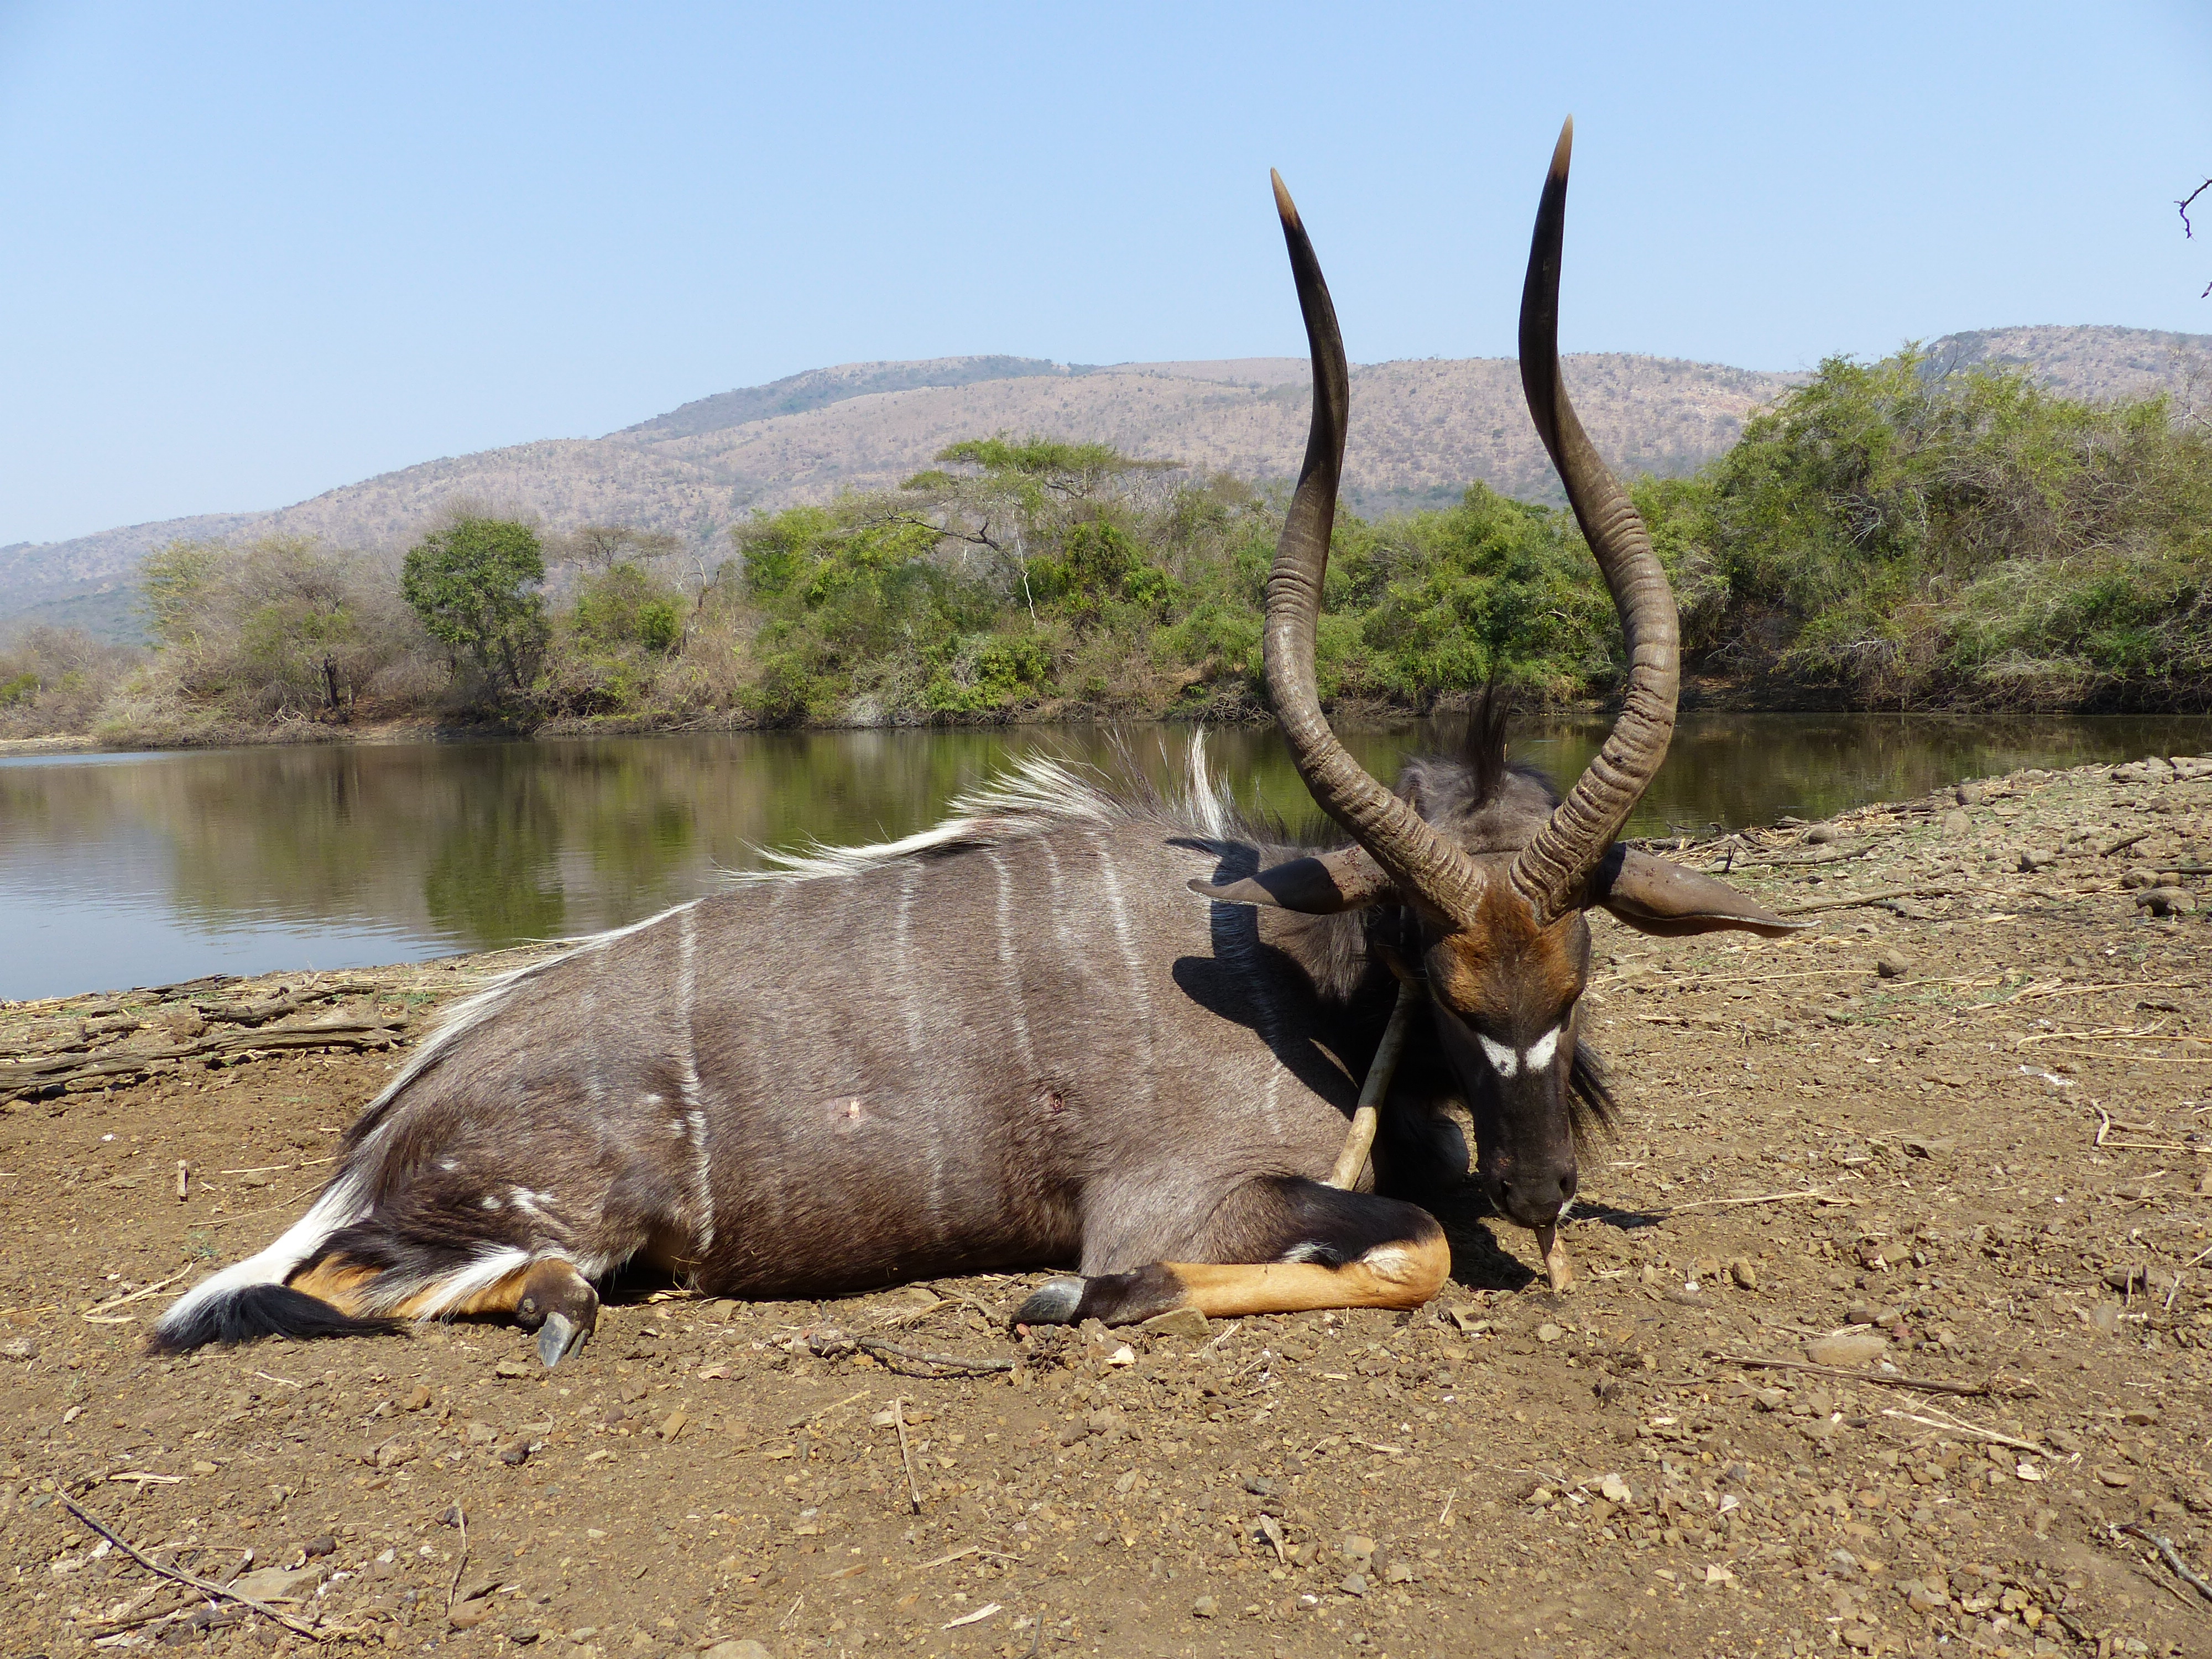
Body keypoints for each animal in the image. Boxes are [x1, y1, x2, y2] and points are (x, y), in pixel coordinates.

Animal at [152, 114, 1796, 1363]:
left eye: (1580, 968)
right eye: (1433, 975)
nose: (1543, 1187)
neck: (1294, 967)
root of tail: (390, 1122)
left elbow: (1422, 1228)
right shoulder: (1183, 1193)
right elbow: (1403, 1247)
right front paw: (1081, 1293)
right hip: (549, 1221)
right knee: (306, 1290)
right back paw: (556, 1304)